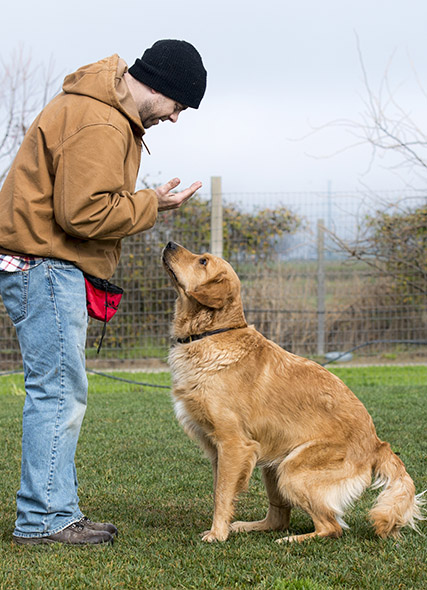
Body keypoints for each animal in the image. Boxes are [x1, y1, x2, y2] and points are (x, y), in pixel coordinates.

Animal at [161, 242, 424, 544]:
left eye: (203, 261)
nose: (170, 243)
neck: (212, 334)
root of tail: (377, 443)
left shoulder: (233, 444)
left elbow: (222, 494)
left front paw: (217, 534)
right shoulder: (220, 452)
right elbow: (220, 491)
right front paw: (222, 529)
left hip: (292, 470)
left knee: (331, 527)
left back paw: (292, 540)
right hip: (273, 465)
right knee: (279, 518)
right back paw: (250, 526)